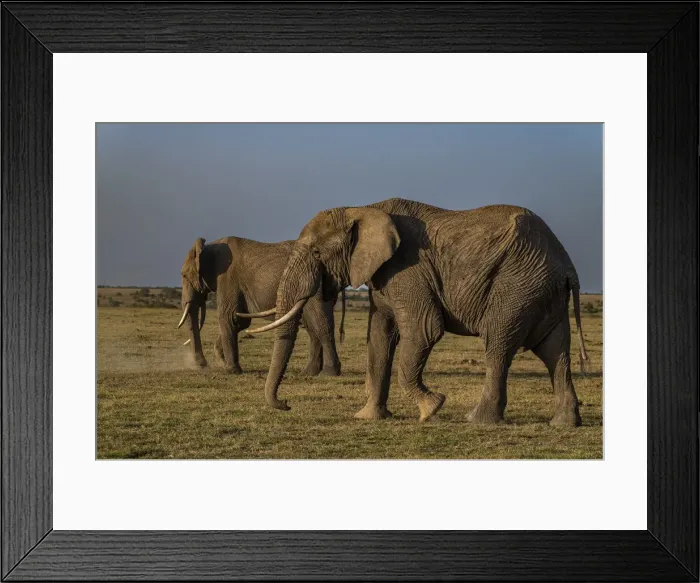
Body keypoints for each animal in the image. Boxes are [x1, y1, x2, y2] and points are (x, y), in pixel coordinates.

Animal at [178, 236, 344, 376]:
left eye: (184, 275)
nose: (202, 365)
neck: (209, 246)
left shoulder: (227, 279)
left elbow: (230, 317)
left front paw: (231, 370)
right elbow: (240, 321)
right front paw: (222, 361)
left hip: (314, 285)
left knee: (321, 322)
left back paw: (329, 372)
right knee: (312, 326)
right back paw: (309, 372)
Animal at [249, 198, 589, 426]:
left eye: (317, 252)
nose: (286, 404)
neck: (364, 208)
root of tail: (567, 265)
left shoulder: (408, 268)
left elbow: (425, 329)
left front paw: (431, 409)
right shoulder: (383, 276)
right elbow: (379, 338)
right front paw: (369, 417)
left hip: (517, 286)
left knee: (498, 345)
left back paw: (476, 420)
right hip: (541, 290)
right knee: (555, 352)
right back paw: (564, 423)